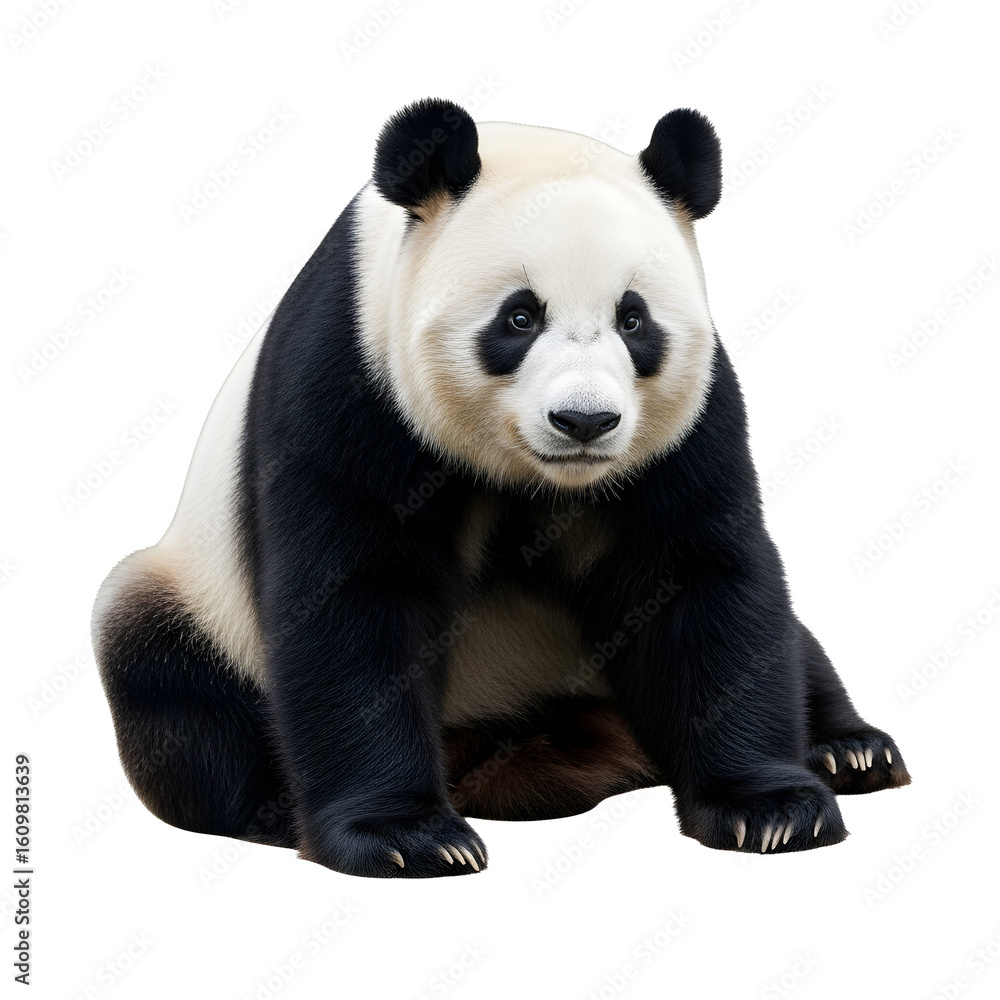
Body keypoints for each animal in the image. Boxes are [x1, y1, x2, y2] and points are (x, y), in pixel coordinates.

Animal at [92, 98, 910, 878]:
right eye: (519, 316)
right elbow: (353, 601)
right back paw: (270, 808)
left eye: (634, 320)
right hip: (197, 603)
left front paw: (771, 810)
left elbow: (700, 583)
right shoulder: (349, 379)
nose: (585, 420)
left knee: (791, 636)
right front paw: (406, 838)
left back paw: (850, 750)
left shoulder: (690, 425)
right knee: (167, 680)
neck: (532, 476)